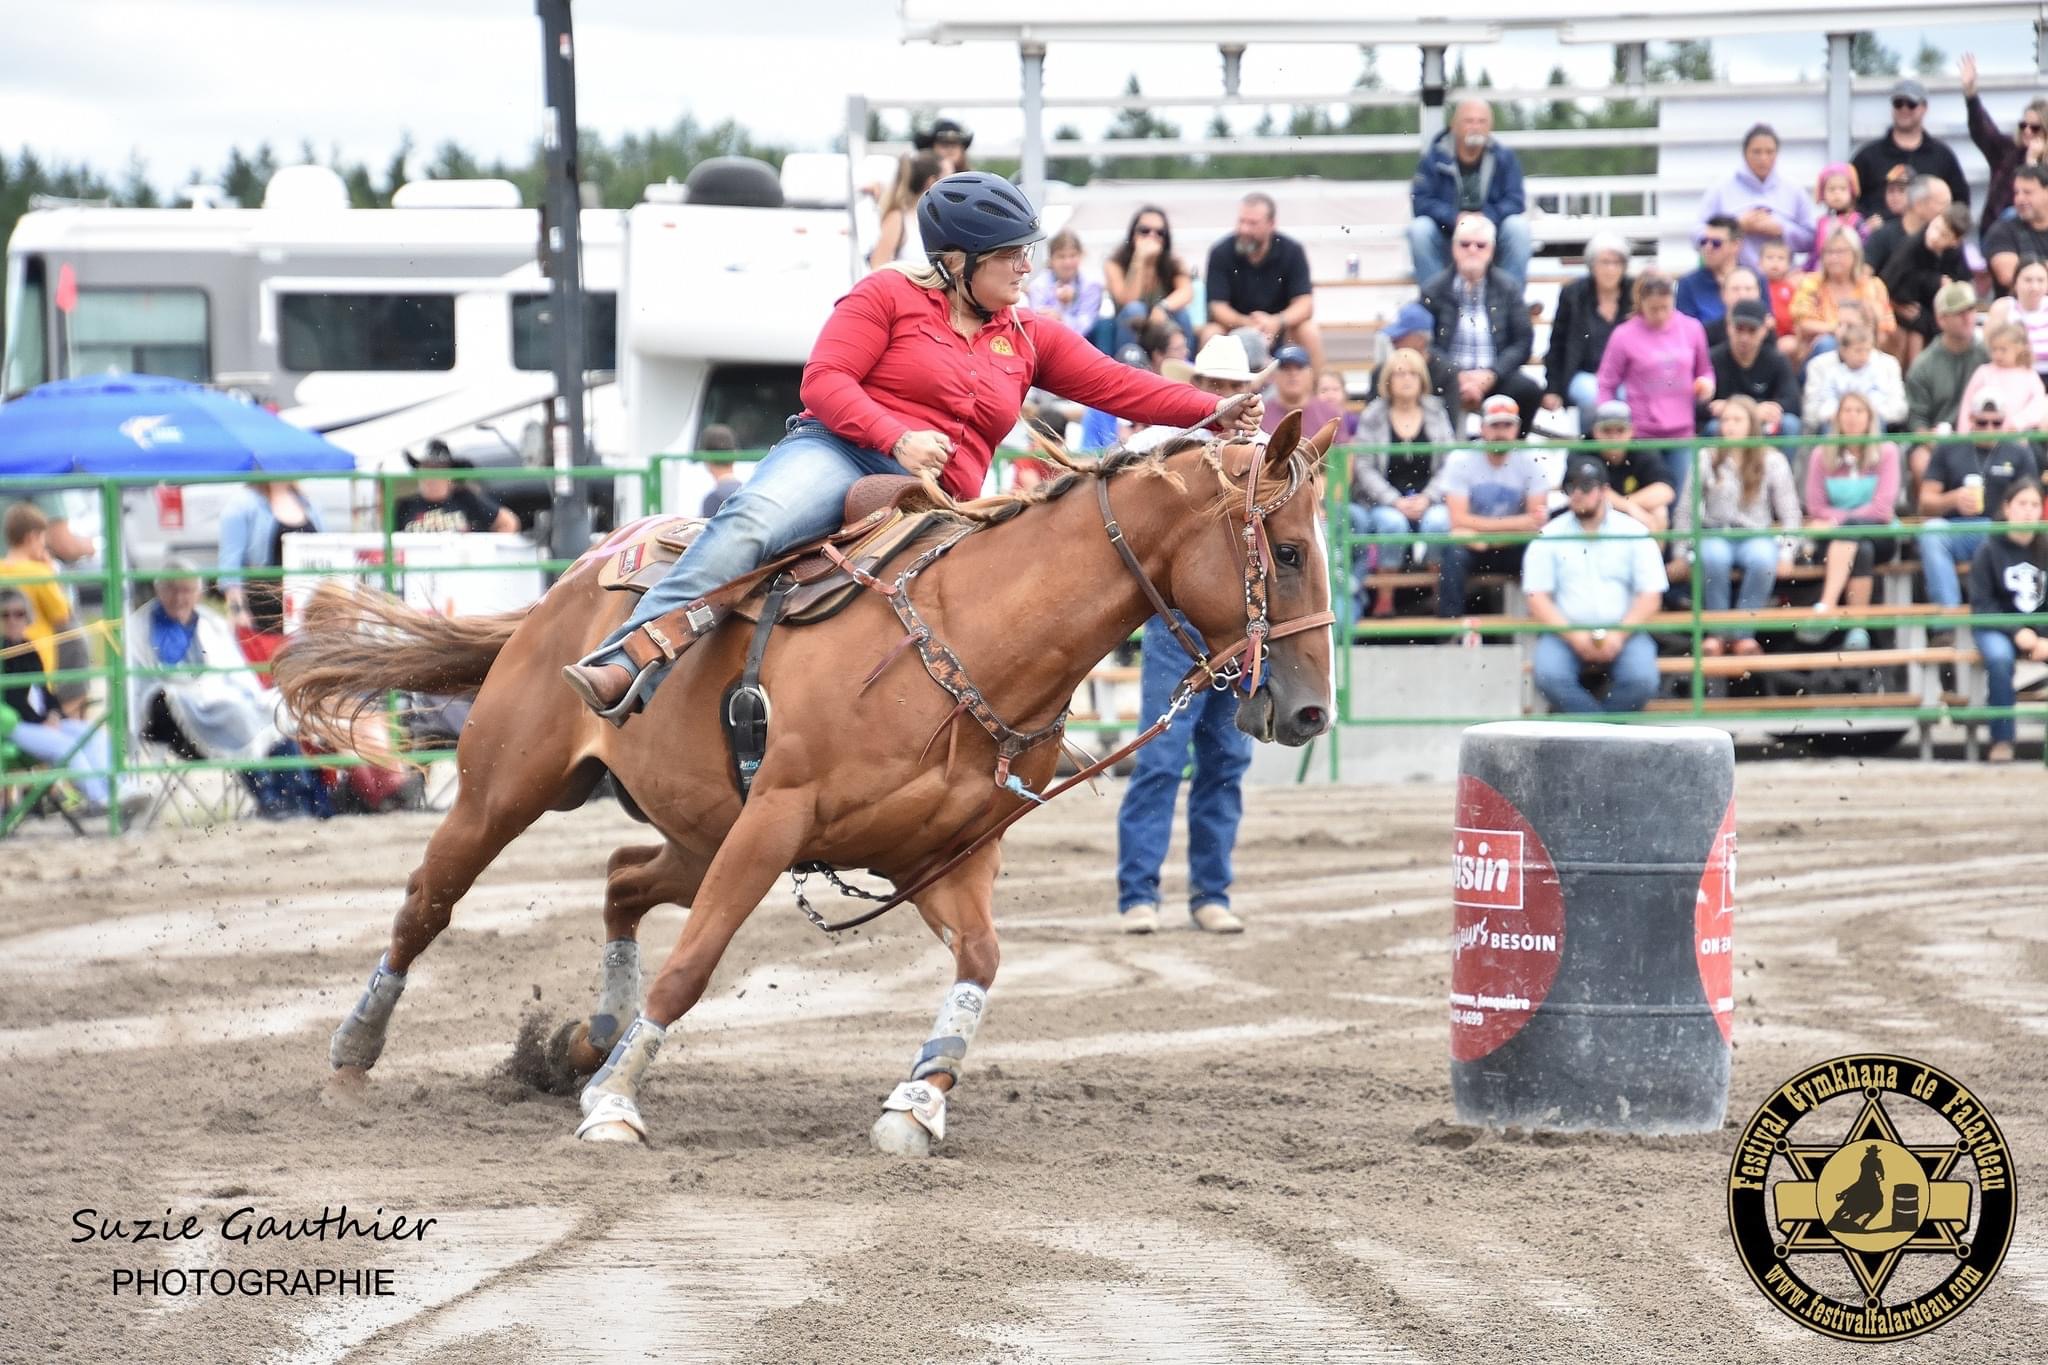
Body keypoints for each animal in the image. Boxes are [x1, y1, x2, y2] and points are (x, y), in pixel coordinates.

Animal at [280, 417, 1335, 1154]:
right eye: (1285, 552)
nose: (1311, 712)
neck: (975, 635)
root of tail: (571, 580)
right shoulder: (778, 820)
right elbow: (693, 964)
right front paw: (615, 1105)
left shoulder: (945, 857)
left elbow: (983, 963)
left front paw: (917, 1102)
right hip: (507, 789)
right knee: (428, 901)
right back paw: (354, 1057)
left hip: (699, 831)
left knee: (621, 876)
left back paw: (592, 1035)